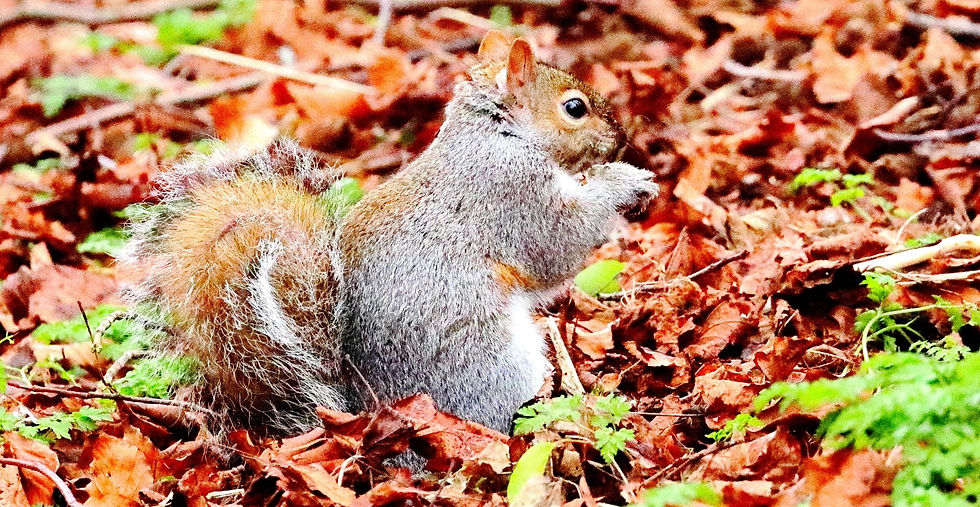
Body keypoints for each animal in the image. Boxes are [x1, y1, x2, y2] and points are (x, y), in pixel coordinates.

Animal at [120, 31, 658, 435]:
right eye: (575, 108)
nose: (622, 139)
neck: (496, 136)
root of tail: (363, 406)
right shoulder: (511, 195)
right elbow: (557, 248)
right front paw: (623, 181)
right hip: (490, 361)